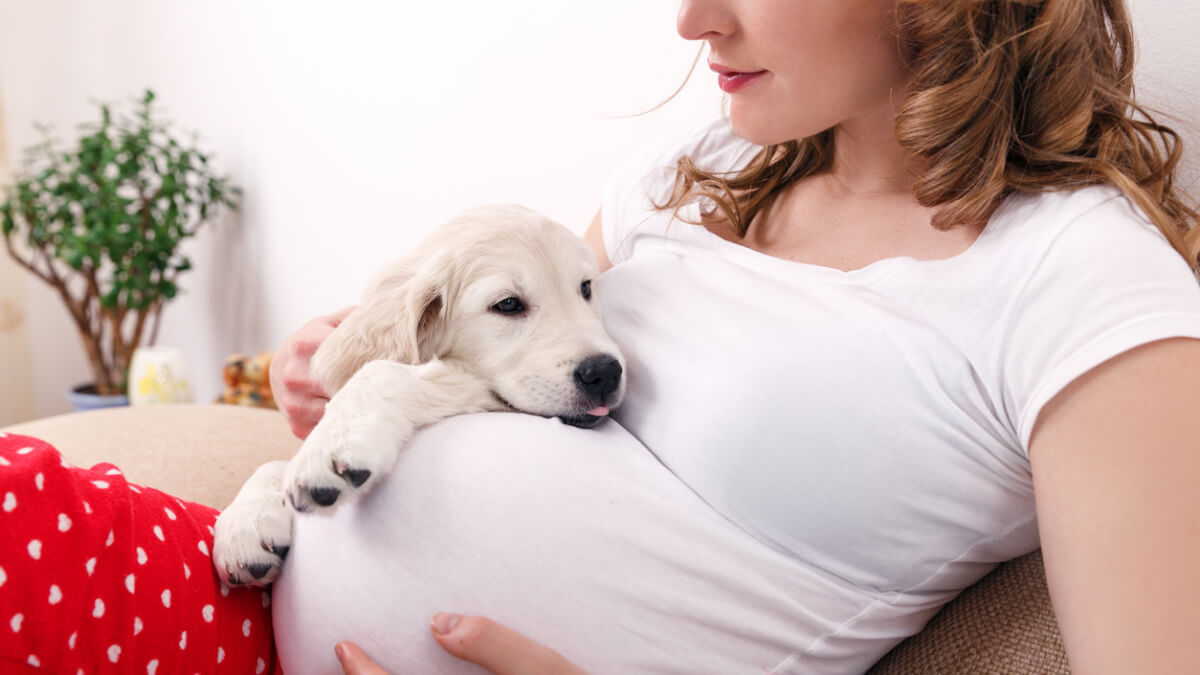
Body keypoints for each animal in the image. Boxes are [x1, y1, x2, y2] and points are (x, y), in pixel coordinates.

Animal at [214, 204, 624, 583]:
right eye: (507, 304)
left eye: (585, 288)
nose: (606, 373)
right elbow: (274, 462)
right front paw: (244, 524)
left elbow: (379, 372)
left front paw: (331, 448)